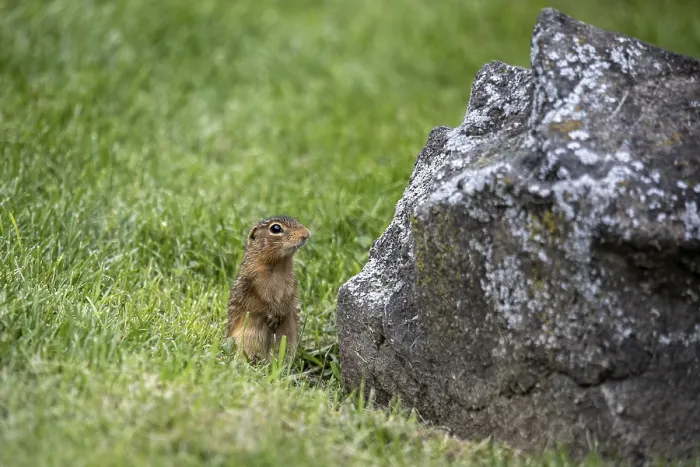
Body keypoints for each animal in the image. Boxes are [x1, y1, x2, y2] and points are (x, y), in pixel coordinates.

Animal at [226, 216, 310, 362]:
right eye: (276, 228)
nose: (306, 233)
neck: (279, 265)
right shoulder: (252, 284)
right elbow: (258, 300)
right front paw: (271, 314)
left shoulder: (291, 283)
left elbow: (289, 297)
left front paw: (280, 311)